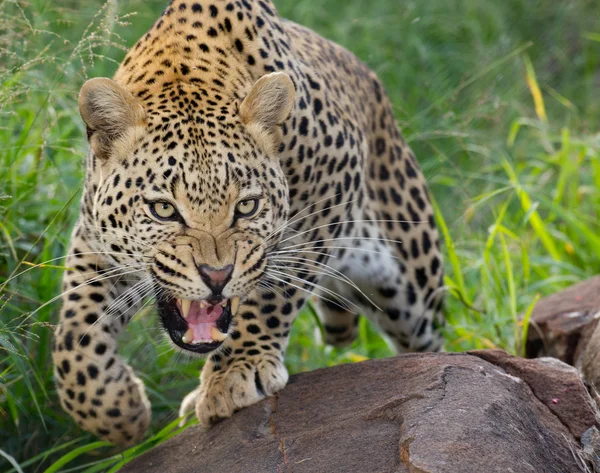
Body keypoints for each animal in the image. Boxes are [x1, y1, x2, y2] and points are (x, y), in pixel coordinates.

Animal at [51, 0, 446, 444]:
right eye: (164, 210)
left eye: (247, 207)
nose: (217, 276)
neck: (181, 67)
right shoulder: (93, 236)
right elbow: (76, 330)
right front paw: (117, 411)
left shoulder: (328, 193)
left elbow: (274, 293)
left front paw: (236, 371)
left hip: (412, 279)